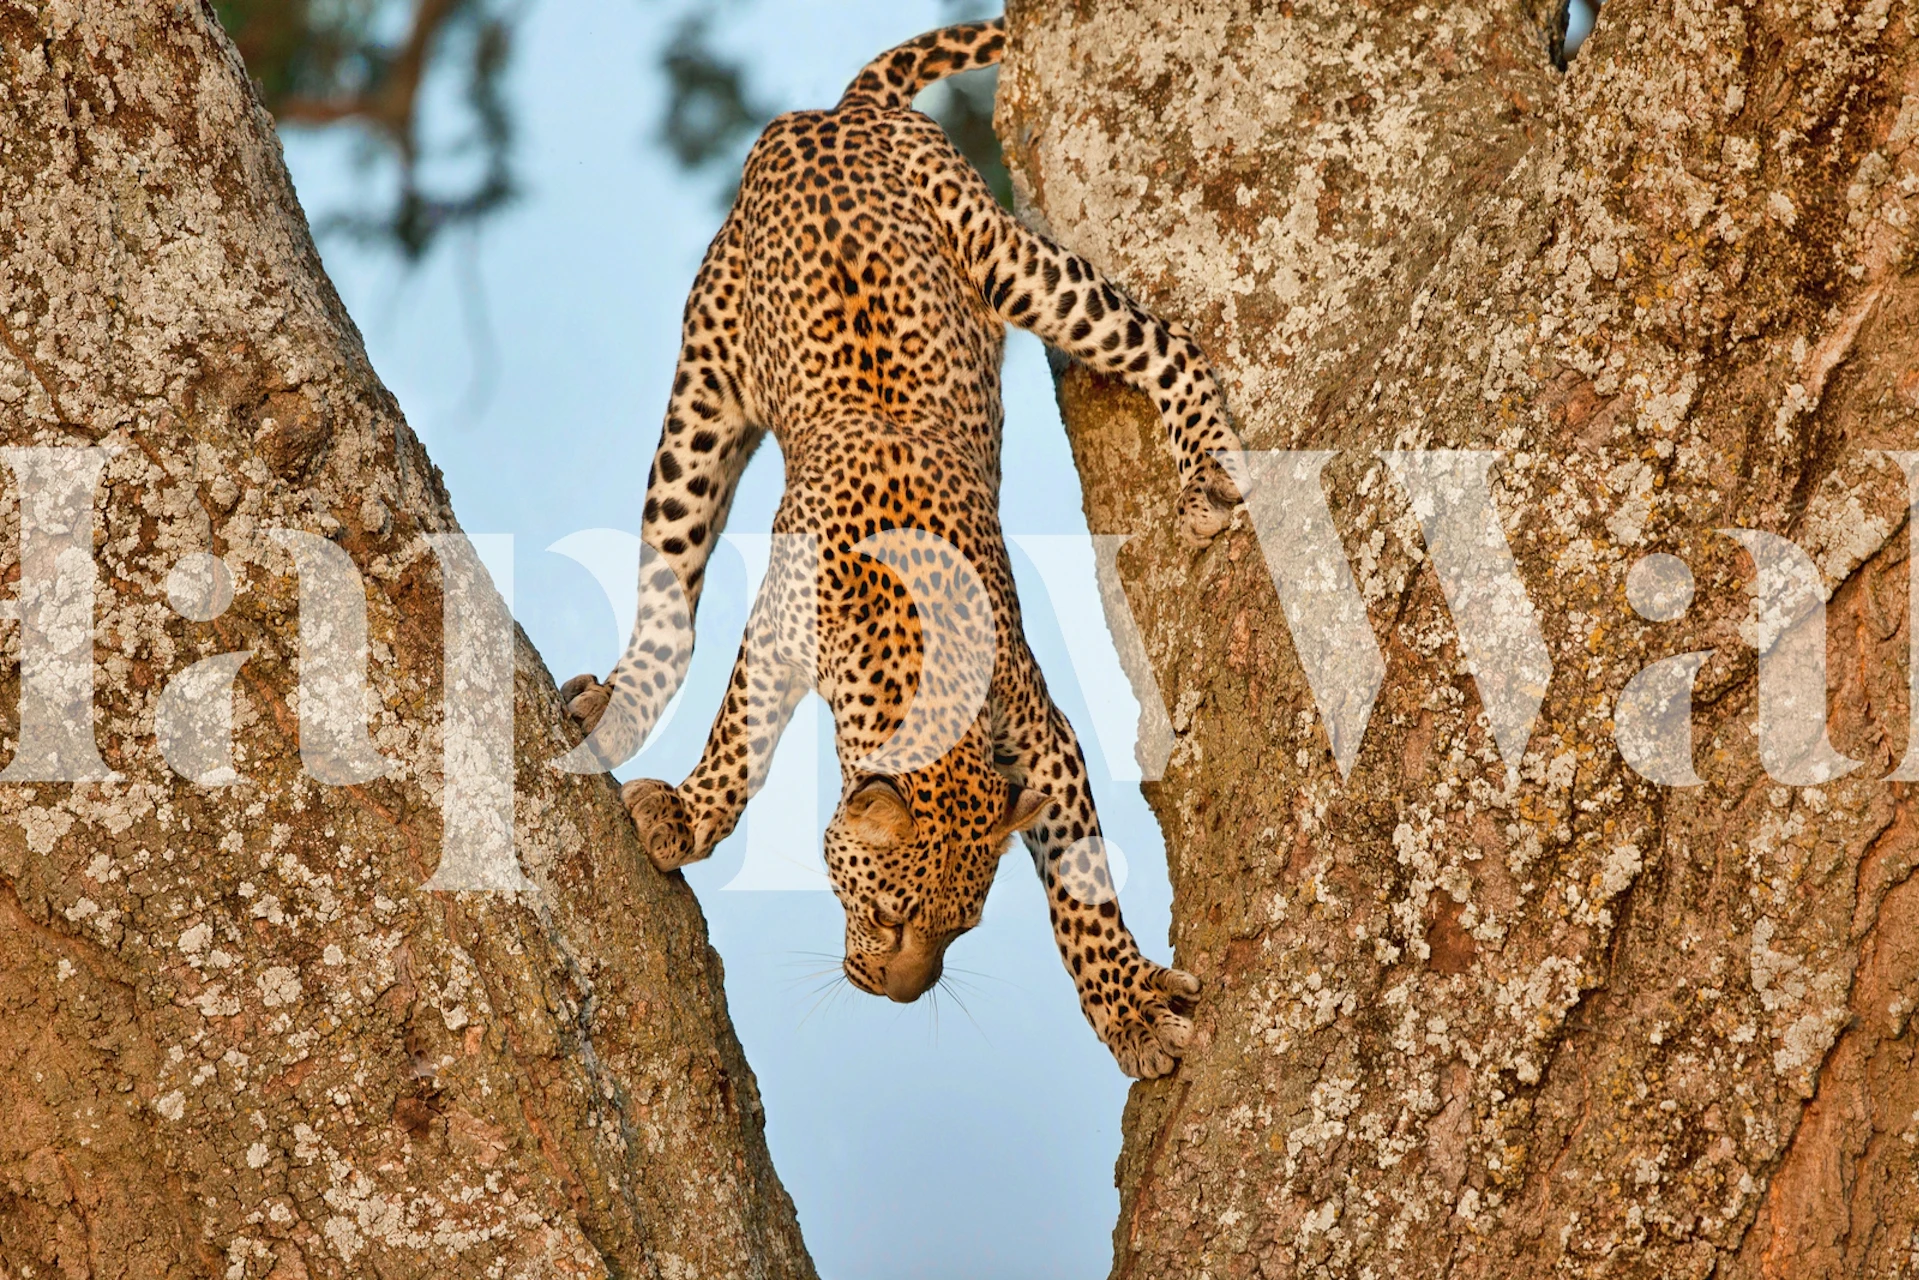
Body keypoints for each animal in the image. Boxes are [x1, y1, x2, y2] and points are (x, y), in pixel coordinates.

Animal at [559, 18, 1248, 1079]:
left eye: (960, 929)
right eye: (884, 911)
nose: (899, 994)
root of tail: (834, 111)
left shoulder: (1042, 737)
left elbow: (1083, 890)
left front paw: (1127, 1004)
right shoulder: (777, 639)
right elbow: (735, 741)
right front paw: (686, 813)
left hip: (1004, 258)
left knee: (1164, 337)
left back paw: (1206, 468)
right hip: (703, 388)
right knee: (668, 593)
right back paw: (619, 705)